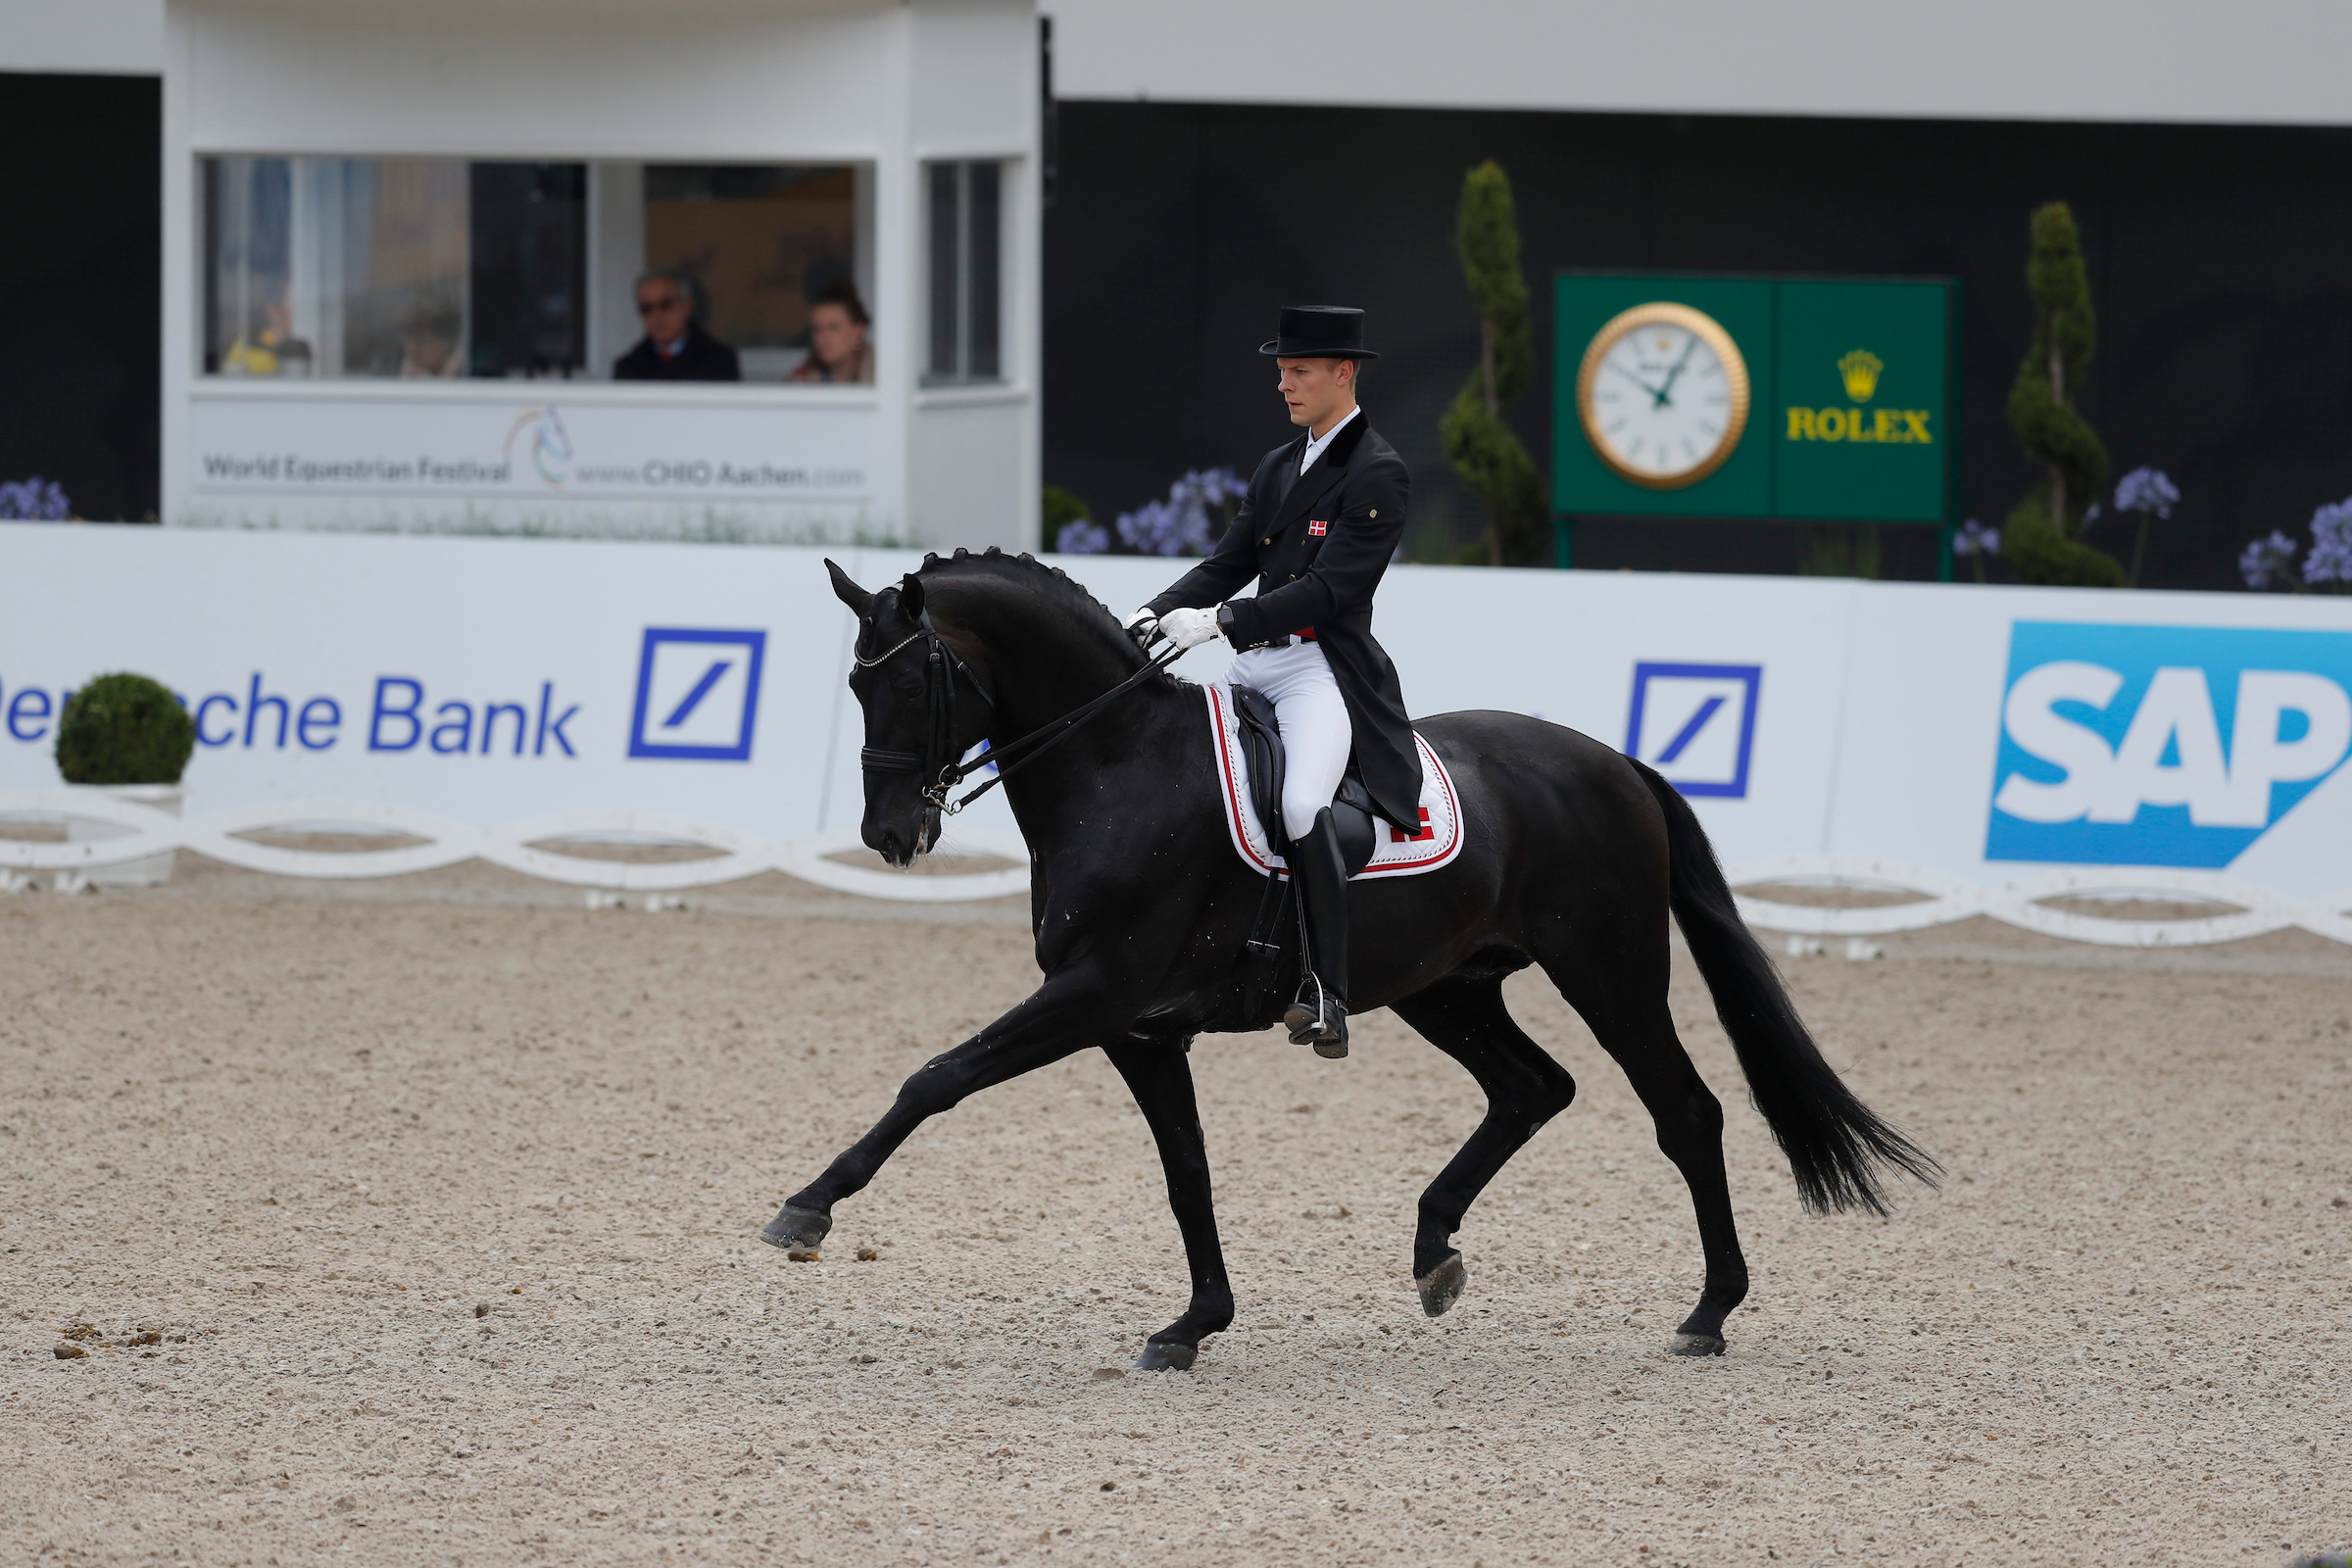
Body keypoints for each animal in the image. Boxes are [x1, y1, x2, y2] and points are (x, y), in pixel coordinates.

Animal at [761, 557, 1937, 1363]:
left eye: (914, 682)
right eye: (858, 690)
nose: (889, 835)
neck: (1117, 766)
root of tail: (1616, 762)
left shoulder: (1090, 995)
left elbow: (938, 1076)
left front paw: (809, 1207)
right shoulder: (1137, 1028)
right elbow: (1186, 1170)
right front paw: (1196, 1321)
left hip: (1607, 970)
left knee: (1685, 1112)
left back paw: (1708, 1311)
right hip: (1445, 988)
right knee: (1533, 1088)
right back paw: (1434, 1253)